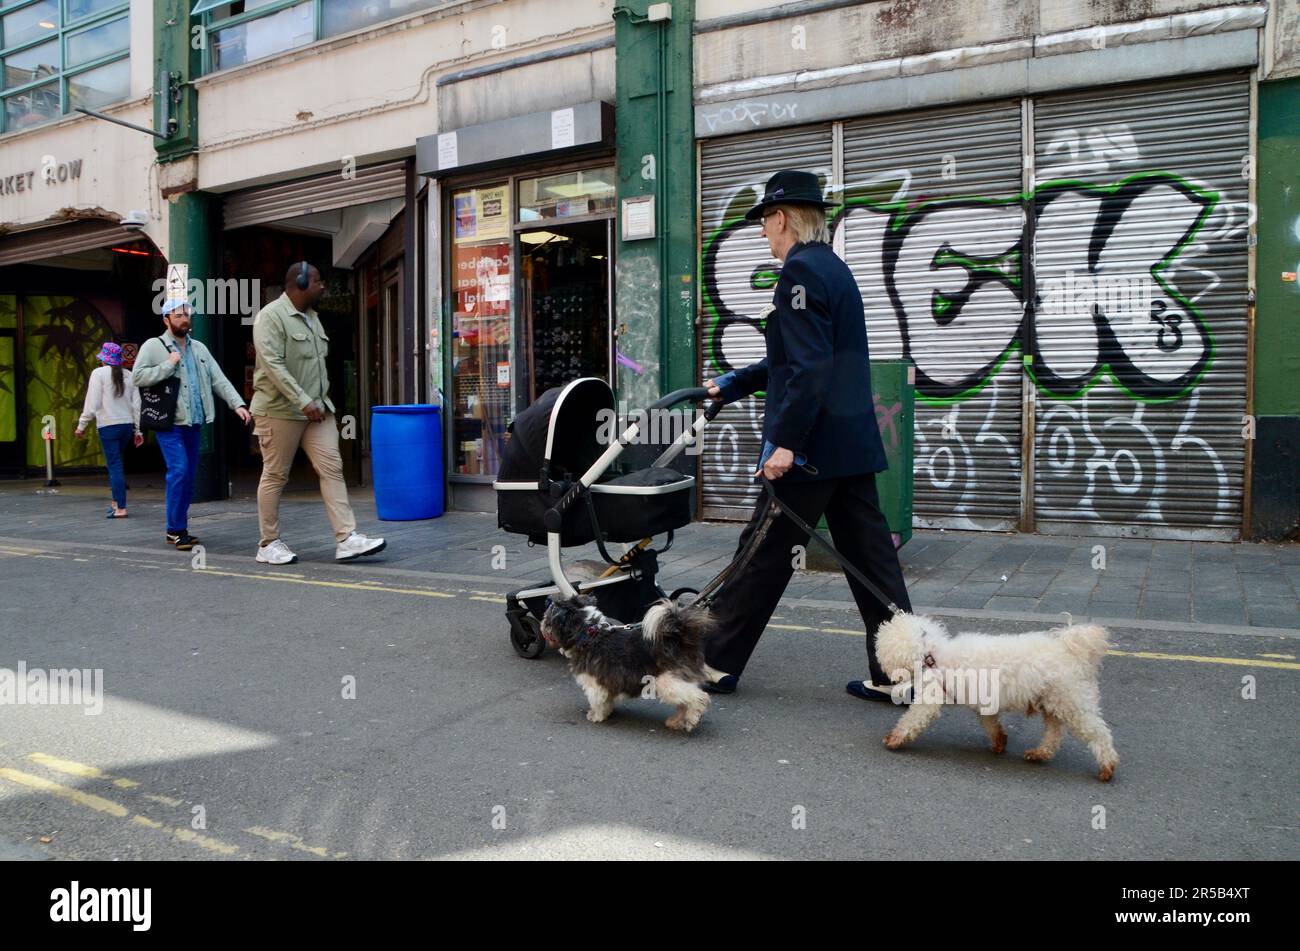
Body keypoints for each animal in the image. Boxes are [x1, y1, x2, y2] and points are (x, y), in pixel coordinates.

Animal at [878, 613, 1123, 784]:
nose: (884, 671)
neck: (931, 655)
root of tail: (1070, 649)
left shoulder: (930, 698)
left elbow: (911, 720)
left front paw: (894, 739)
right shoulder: (983, 703)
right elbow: (991, 725)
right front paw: (999, 742)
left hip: (1072, 703)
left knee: (1098, 733)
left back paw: (1107, 766)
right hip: (1052, 702)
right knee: (1054, 735)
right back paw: (1039, 753)